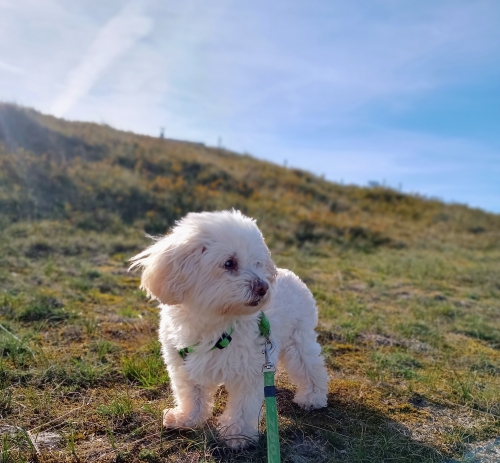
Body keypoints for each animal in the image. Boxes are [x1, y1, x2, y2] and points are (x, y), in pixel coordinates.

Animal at [129, 210, 328, 448]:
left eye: (257, 263)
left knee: (310, 367)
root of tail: (291, 274)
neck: (215, 321)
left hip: (297, 340)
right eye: (229, 263)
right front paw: (187, 419)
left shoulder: (249, 371)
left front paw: (237, 434)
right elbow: (191, 395)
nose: (263, 287)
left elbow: (243, 406)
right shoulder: (184, 365)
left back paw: (313, 397)